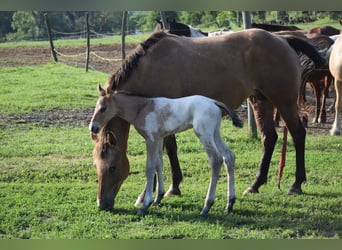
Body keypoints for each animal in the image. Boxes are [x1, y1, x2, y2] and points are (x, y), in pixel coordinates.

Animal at [89, 86, 242, 215]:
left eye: (103, 108)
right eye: (95, 107)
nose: (93, 127)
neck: (142, 108)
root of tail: (214, 102)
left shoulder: (151, 139)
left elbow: (150, 168)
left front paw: (145, 205)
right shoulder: (159, 138)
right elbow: (159, 164)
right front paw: (158, 198)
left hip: (204, 134)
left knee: (216, 160)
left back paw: (207, 206)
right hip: (215, 133)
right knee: (229, 156)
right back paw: (229, 204)